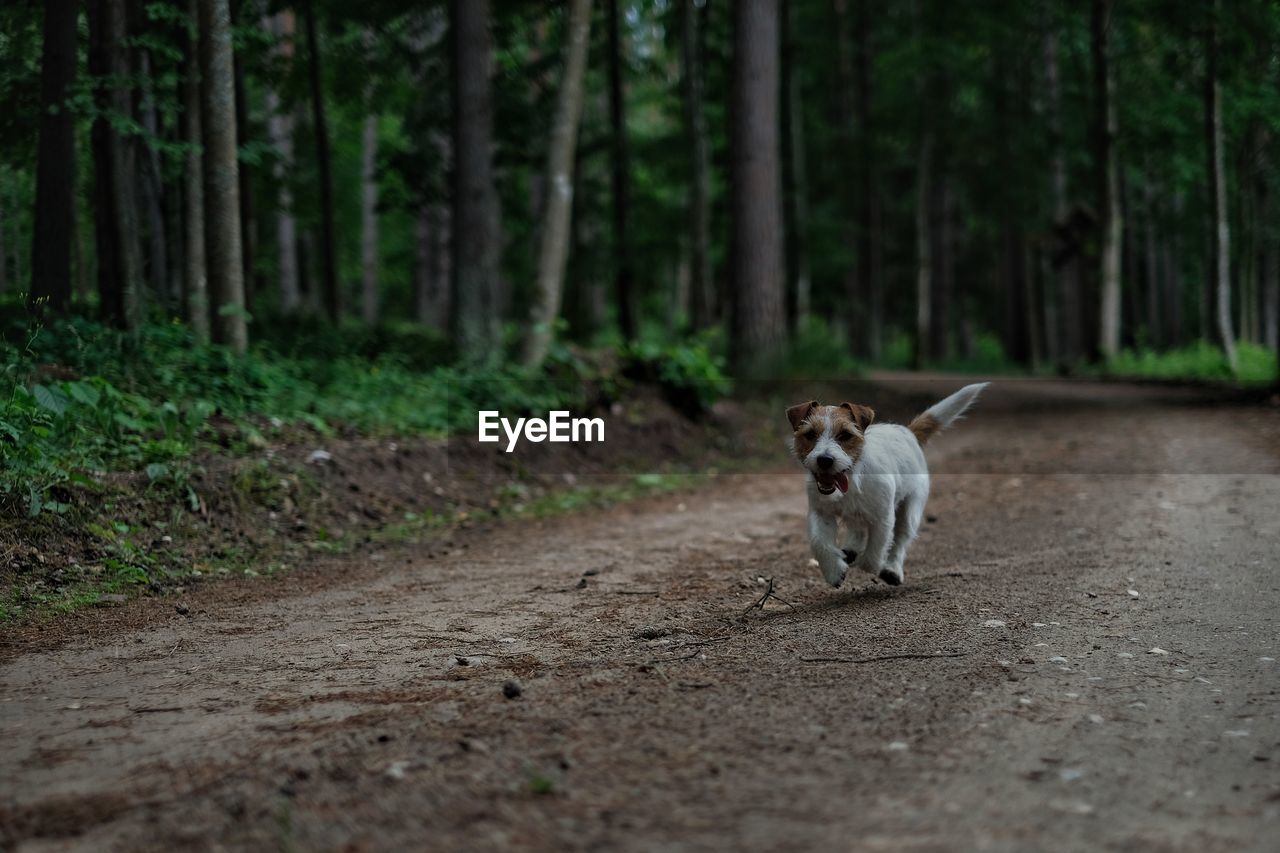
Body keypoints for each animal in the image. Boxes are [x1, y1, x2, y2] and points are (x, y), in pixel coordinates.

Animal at [778, 384, 988, 584]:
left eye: (845, 435)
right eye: (810, 434)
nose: (824, 460)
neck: (852, 478)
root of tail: (909, 432)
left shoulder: (883, 517)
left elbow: (876, 548)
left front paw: (872, 564)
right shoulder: (820, 513)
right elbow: (819, 542)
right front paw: (834, 571)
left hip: (910, 511)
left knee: (900, 540)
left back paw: (891, 569)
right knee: (857, 529)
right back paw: (851, 550)